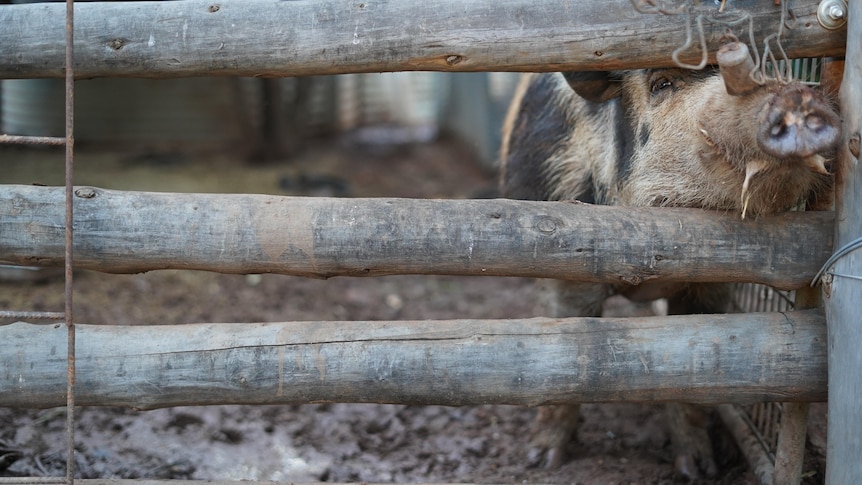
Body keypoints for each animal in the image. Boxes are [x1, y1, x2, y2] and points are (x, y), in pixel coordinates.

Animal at [500, 57, 844, 476]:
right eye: (661, 84)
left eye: (769, 66)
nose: (794, 95)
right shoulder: (563, 268)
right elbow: (558, 359)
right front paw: (542, 462)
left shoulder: (712, 286)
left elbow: (686, 372)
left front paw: (699, 470)